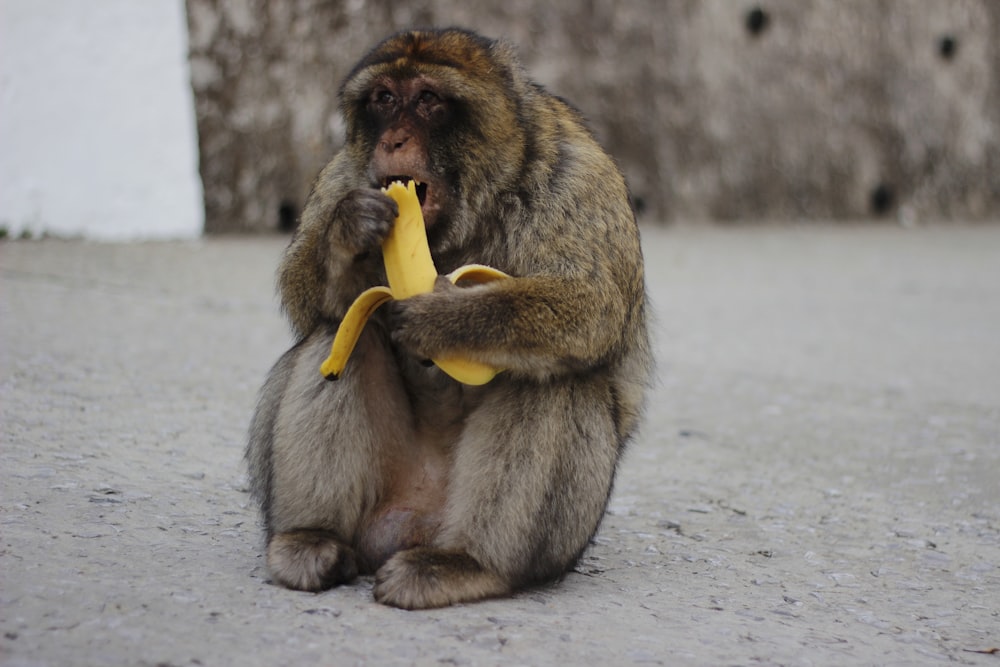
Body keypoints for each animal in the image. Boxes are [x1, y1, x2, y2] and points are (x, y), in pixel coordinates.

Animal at [246, 27, 652, 612]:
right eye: (384, 99)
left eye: (428, 100)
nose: (392, 140)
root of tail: (414, 525)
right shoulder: (343, 174)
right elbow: (305, 300)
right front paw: (348, 232)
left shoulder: (579, 178)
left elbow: (589, 306)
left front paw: (445, 317)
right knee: (343, 335)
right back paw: (311, 539)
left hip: (562, 535)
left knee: (553, 377)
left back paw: (466, 563)